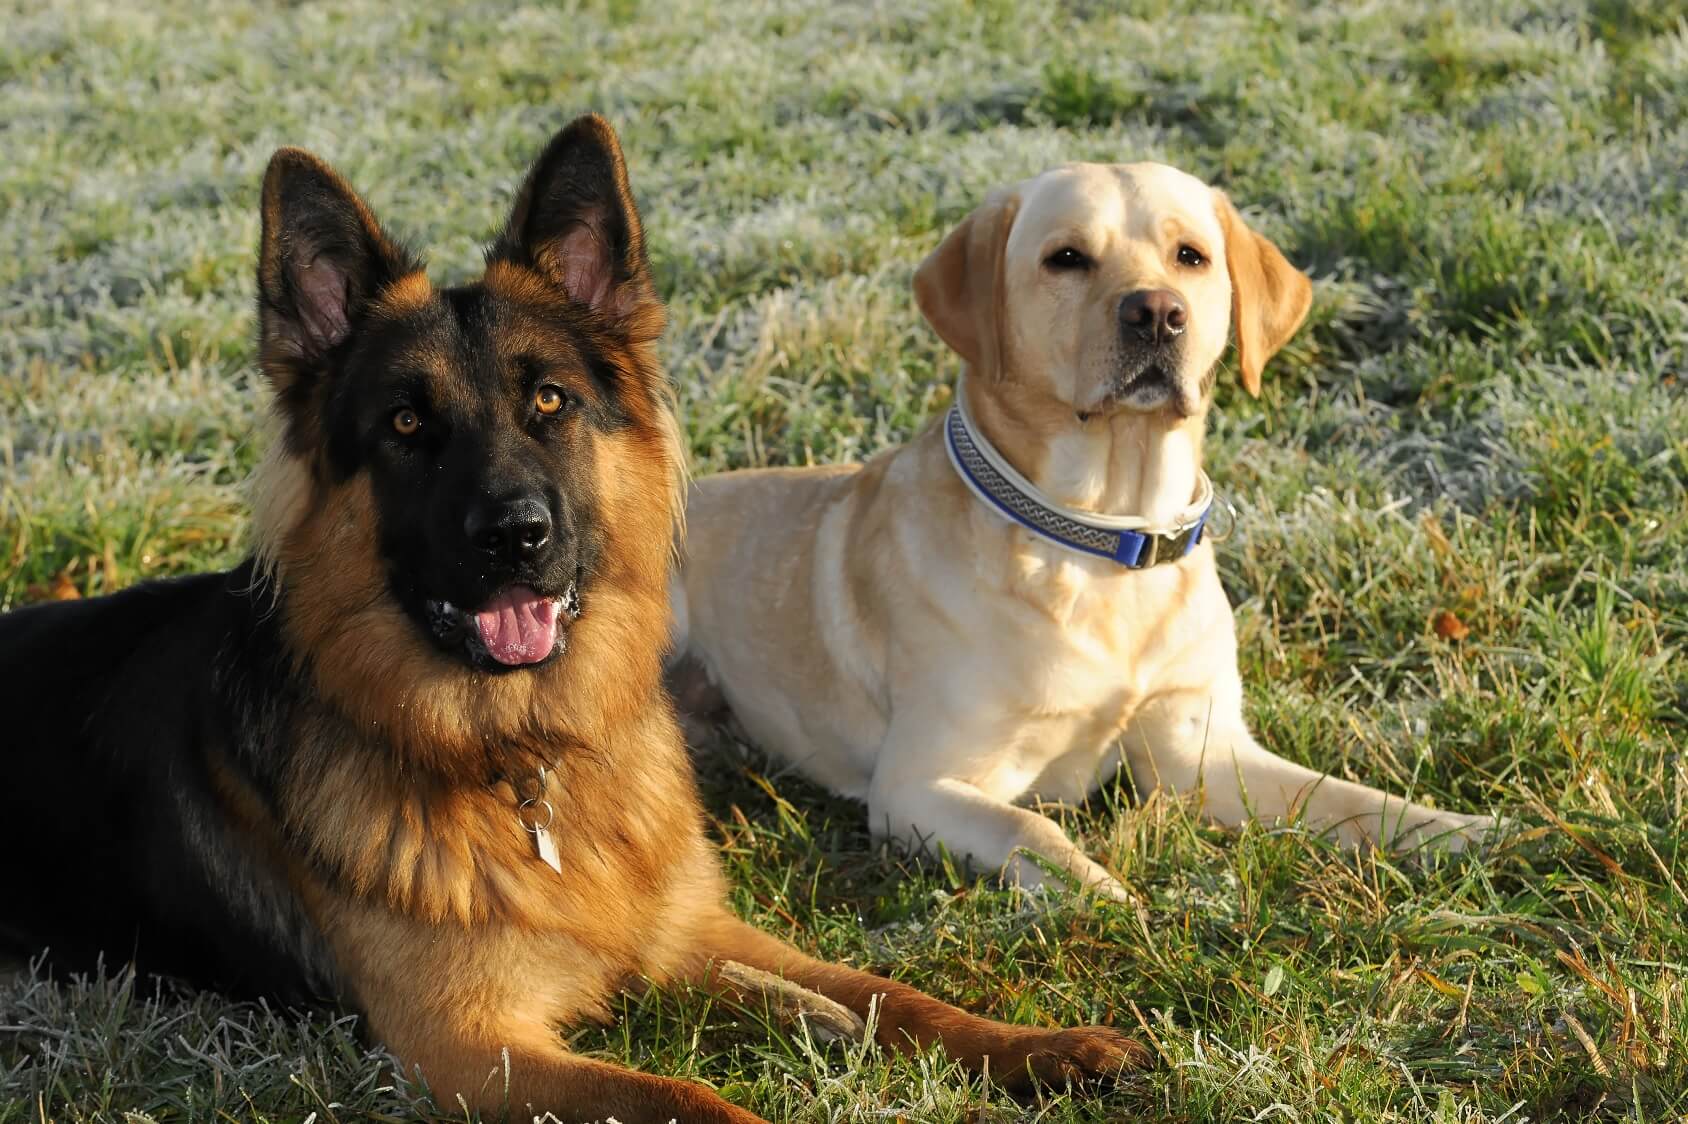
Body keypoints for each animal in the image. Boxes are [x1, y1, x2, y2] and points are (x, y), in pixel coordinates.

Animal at [671, 162, 1492, 897]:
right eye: (1066, 258)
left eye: (1191, 256)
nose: (1157, 313)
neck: (1107, 541)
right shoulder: (917, 784)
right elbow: (1034, 828)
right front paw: (1115, 903)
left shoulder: (1201, 756)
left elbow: (1350, 798)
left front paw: (1472, 832)